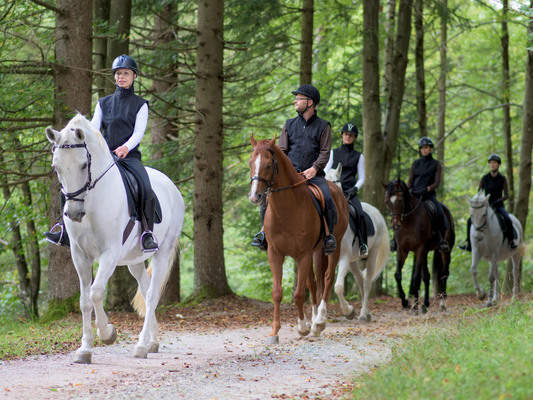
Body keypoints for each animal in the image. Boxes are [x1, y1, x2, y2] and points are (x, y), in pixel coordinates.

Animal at [44, 114, 185, 364]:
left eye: (84, 165)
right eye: (56, 167)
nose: (74, 214)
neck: (91, 202)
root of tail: (172, 186)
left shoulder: (108, 254)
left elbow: (97, 292)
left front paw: (107, 333)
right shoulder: (79, 256)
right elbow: (84, 300)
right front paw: (85, 349)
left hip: (163, 251)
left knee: (152, 295)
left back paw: (141, 345)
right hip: (134, 261)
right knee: (146, 289)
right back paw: (152, 341)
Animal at [246, 134, 348, 344]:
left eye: (268, 165)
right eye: (251, 163)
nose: (255, 196)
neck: (286, 209)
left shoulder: (302, 255)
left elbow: (299, 294)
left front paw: (302, 327)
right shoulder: (275, 254)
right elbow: (277, 293)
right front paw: (274, 332)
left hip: (333, 247)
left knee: (327, 278)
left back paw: (319, 321)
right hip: (315, 252)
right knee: (314, 282)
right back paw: (315, 320)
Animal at [322, 163, 388, 322]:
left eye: (335, 182)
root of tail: (376, 212)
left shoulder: (343, 258)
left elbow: (338, 286)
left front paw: (348, 311)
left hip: (372, 254)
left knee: (367, 282)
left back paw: (363, 314)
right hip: (352, 261)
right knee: (360, 280)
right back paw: (367, 312)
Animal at [380, 180, 456, 314]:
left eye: (400, 199)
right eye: (387, 201)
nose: (396, 226)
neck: (408, 221)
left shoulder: (419, 249)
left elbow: (416, 278)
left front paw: (415, 306)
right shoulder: (402, 250)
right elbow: (398, 275)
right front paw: (405, 302)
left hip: (445, 251)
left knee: (444, 273)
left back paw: (442, 304)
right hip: (425, 252)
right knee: (426, 276)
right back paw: (425, 305)